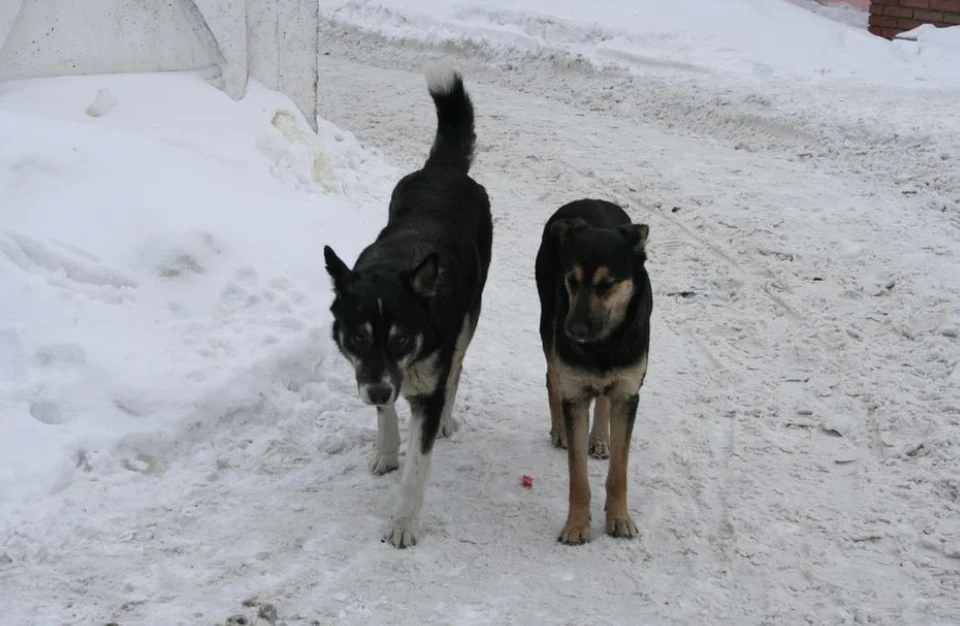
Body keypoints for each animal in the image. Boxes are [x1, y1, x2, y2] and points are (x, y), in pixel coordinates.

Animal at [322, 64, 492, 544]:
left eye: (401, 339)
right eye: (358, 338)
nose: (380, 391)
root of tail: (444, 169)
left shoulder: (424, 389)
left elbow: (418, 466)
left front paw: (403, 524)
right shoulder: (373, 375)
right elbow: (385, 417)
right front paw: (385, 451)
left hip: (471, 315)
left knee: (457, 368)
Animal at [532, 199, 652, 540]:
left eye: (607, 284)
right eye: (571, 280)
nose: (574, 330)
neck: (604, 343)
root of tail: (588, 201)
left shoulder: (628, 393)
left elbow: (619, 472)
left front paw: (620, 518)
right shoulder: (574, 391)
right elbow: (578, 477)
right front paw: (576, 525)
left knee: (603, 399)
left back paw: (599, 437)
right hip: (548, 324)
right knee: (552, 378)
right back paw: (560, 429)